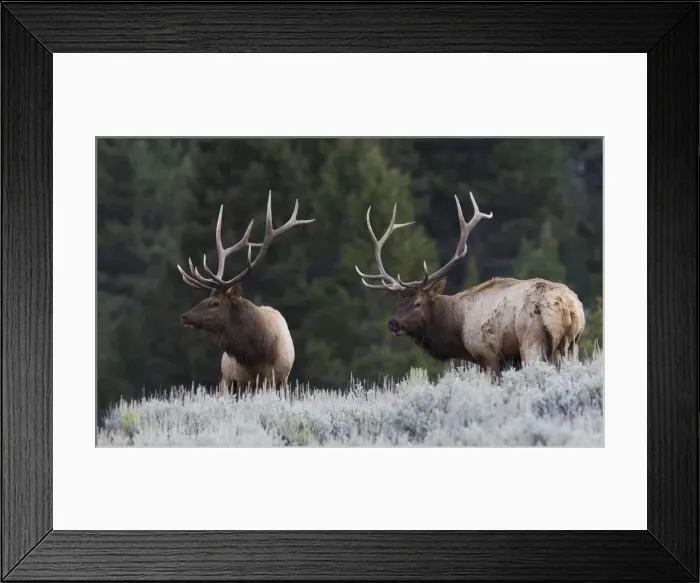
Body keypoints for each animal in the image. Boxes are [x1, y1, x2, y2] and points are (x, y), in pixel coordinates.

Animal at [177, 190, 315, 395]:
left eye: (215, 303)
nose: (184, 316)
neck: (260, 354)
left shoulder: (281, 379)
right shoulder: (242, 381)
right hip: (226, 381)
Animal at [354, 192, 586, 381]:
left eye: (418, 303)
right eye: (398, 302)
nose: (393, 323)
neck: (458, 326)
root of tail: (567, 307)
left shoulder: (487, 354)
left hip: (532, 339)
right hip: (572, 343)